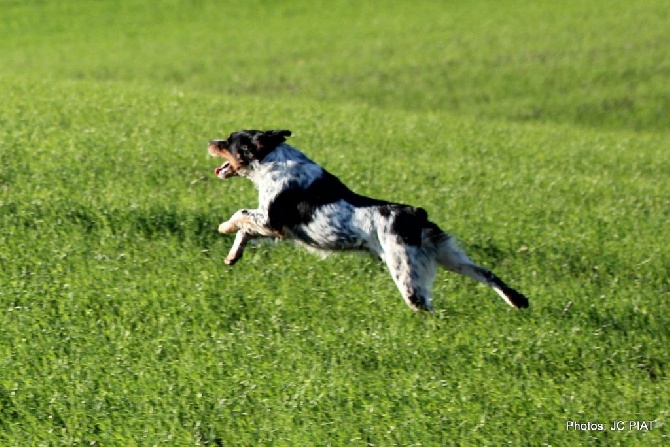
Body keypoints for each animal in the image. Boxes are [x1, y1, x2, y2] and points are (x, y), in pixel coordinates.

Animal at [209, 130, 532, 312]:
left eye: (230, 141)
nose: (210, 141)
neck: (273, 160)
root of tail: (416, 214)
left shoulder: (271, 220)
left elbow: (241, 215)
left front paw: (223, 227)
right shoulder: (275, 229)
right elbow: (245, 232)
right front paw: (233, 256)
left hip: (406, 271)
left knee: (426, 306)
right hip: (449, 256)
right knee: (489, 275)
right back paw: (518, 301)